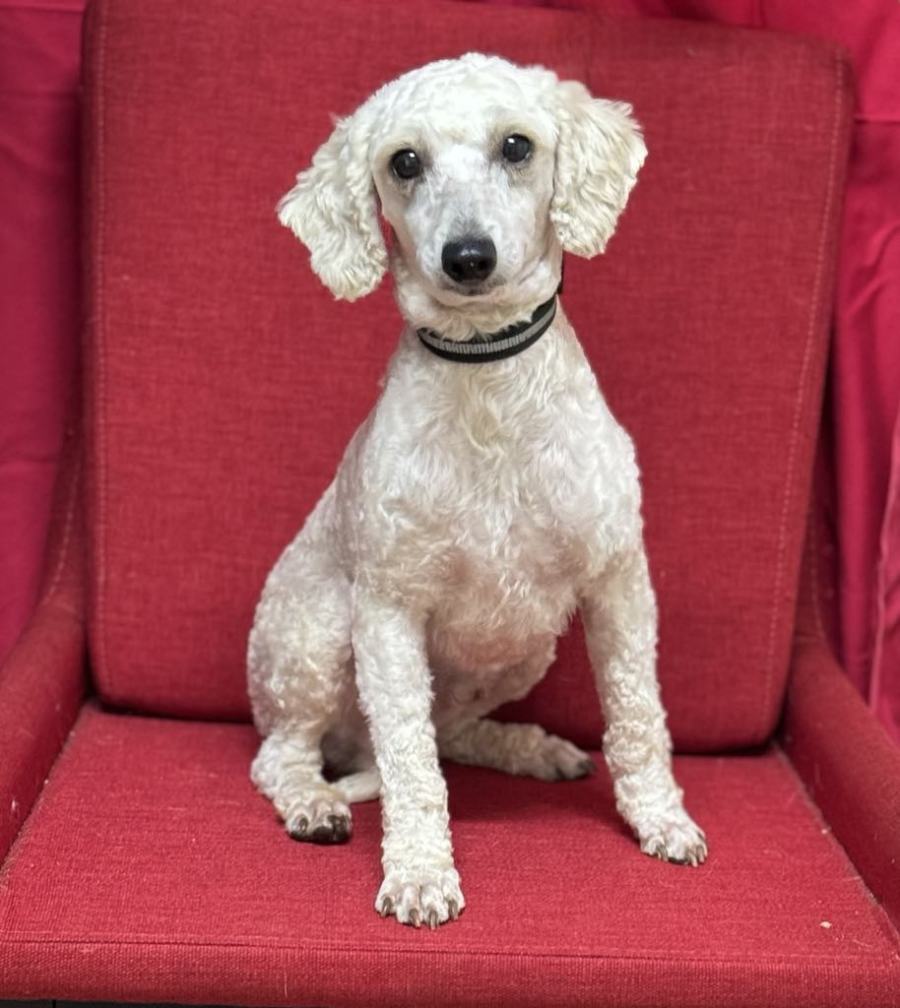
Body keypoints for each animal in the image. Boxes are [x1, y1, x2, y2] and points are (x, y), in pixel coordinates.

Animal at [248, 53, 707, 929]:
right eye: (404, 162)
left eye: (517, 146)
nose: (467, 256)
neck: (489, 379)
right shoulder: (388, 610)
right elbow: (411, 765)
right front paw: (420, 873)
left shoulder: (618, 581)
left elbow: (638, 716)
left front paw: (660, 817)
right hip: (314, 638)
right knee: (289, 755)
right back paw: (314, 803)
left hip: (524, 648)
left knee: (452, 731)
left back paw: (532, 748)